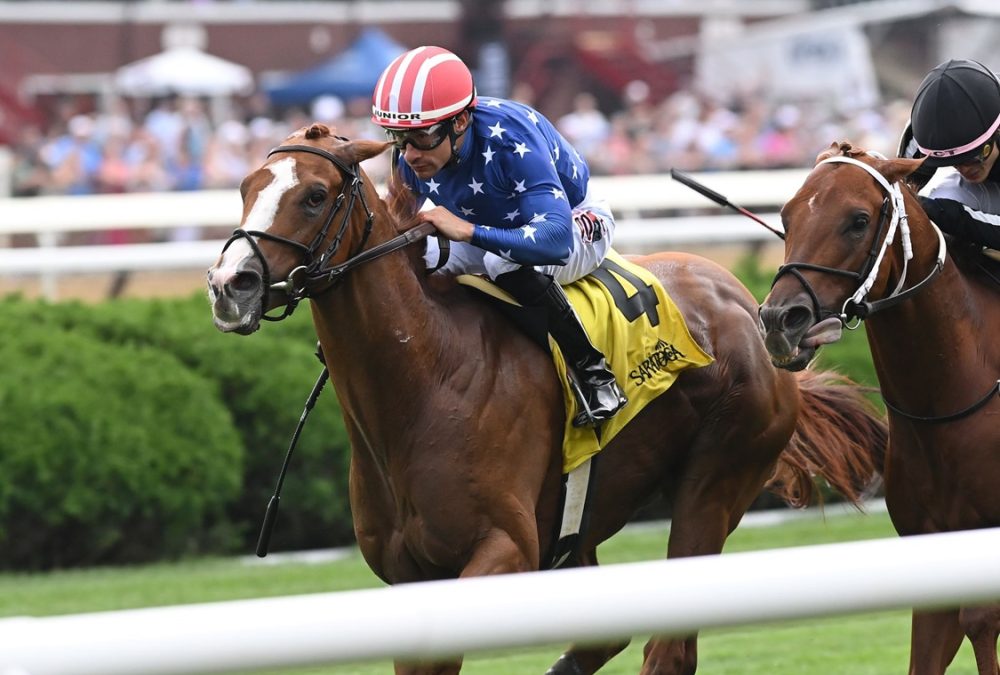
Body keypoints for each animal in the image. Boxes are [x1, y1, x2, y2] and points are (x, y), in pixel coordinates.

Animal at [205, 127, 884, 675]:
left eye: (315, 195)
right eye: (244, 187)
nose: (228, 285)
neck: (425, 377)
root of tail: (747, 304)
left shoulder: (508, 549)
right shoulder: (409, 579)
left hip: (716, 482)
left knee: (669, 647)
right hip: (582, 528)